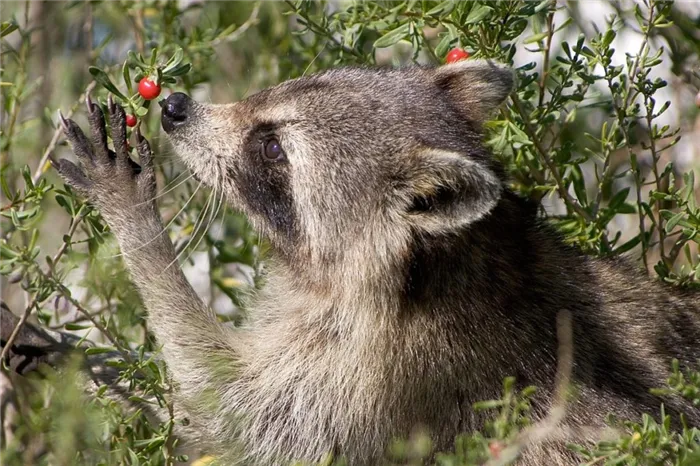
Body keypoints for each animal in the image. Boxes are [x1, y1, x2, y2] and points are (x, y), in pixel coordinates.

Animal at [54, 59, 700, 466]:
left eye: (272, 147)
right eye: (285, 85)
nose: (176, 106)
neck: (467, 259)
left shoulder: (378, 373)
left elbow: (239, 415)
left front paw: (136, 224)